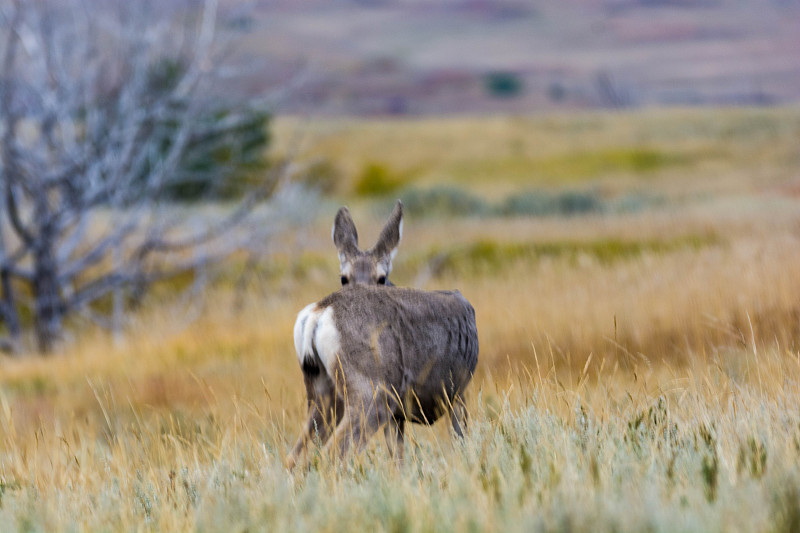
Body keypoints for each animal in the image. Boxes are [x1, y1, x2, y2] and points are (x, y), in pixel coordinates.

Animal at [286, 201, 478, 470]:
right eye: (344, 278)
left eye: (381, 277)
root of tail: (319, 312)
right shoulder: (457, 392)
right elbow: (460, 442)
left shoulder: (398, 416)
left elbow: (398, 460)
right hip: (372, 395)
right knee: (332, 455)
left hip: (323, 394)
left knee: (294, 458)